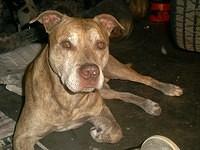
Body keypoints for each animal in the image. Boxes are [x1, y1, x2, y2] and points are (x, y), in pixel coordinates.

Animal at [12, 9, 183, 149]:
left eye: (100, 44)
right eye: (66, 44)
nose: (91, 72)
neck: (69, 99)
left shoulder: (101, 111)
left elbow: (117, 132)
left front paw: (98, 134)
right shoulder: (22, 136)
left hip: (116, 70)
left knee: (145, 79)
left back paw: (167, 89)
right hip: (106, 90)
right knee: (124, 95)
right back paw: (148, 104)